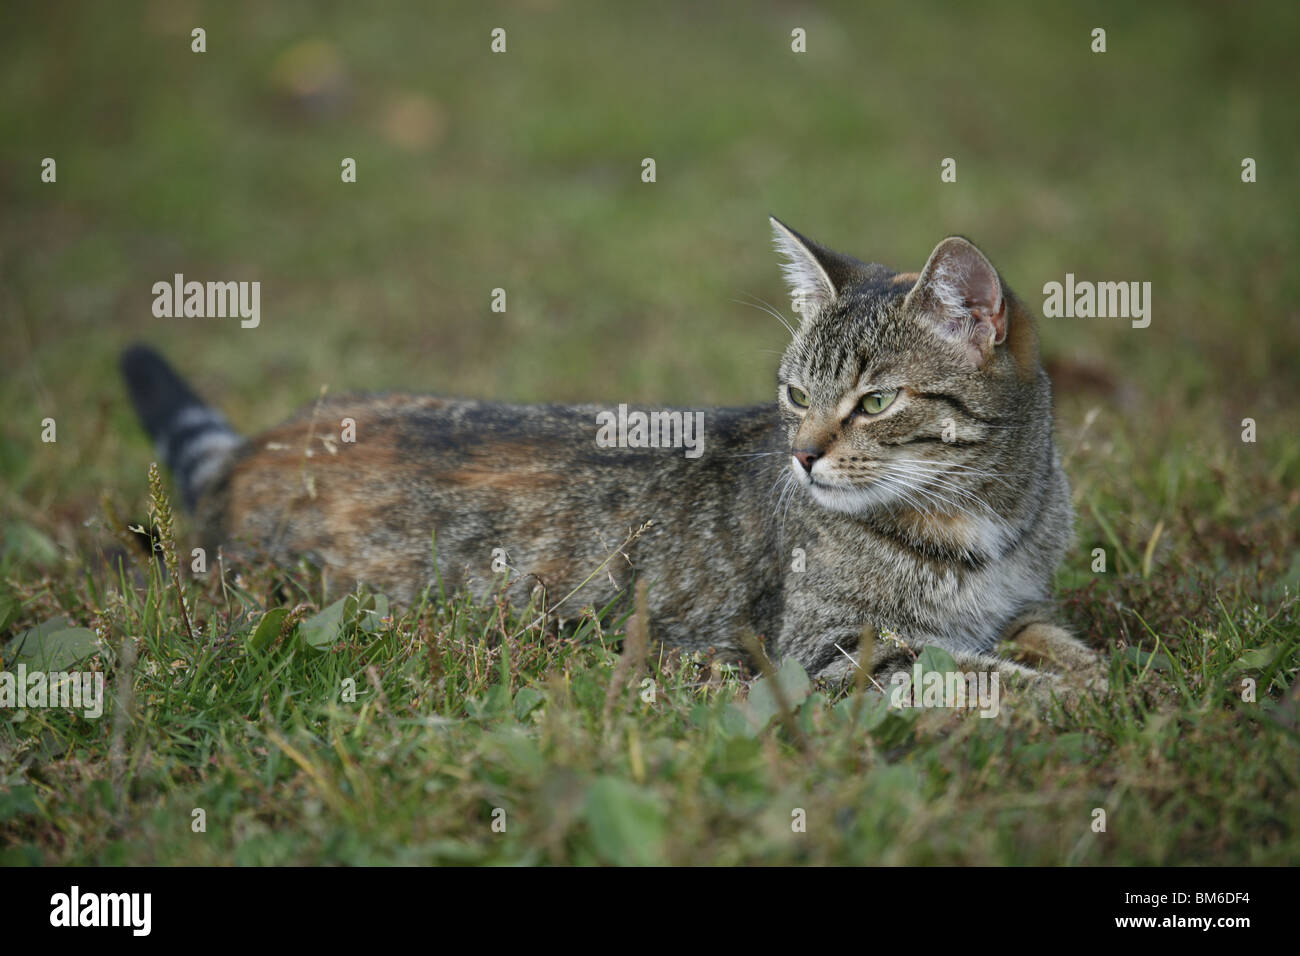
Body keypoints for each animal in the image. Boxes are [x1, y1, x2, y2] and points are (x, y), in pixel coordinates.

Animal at [122, 219, 1102, 691]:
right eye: (796, 396)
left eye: (876, 402)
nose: (803, 456)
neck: (988, 522)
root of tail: (255, 446)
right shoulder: (831, 647)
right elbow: (970, 674)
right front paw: (1071, 701)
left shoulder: (1015, 605)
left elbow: (1050, 639)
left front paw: (1099, 673)